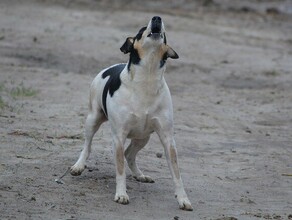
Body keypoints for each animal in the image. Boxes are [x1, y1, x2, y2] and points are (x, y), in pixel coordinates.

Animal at [70, 16, 193, 211]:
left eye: (164, 33)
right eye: (141, 30)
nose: (157, 18)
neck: (147, 78)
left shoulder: (167, 138)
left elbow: (176, 173)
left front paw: (183, 199)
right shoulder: (119, 137)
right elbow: (119, 169)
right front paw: (121, 194)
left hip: (143, 137)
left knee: (130, 155)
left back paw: (140, 175)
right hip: (93, 119)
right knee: (87, 146)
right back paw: (79, 166)